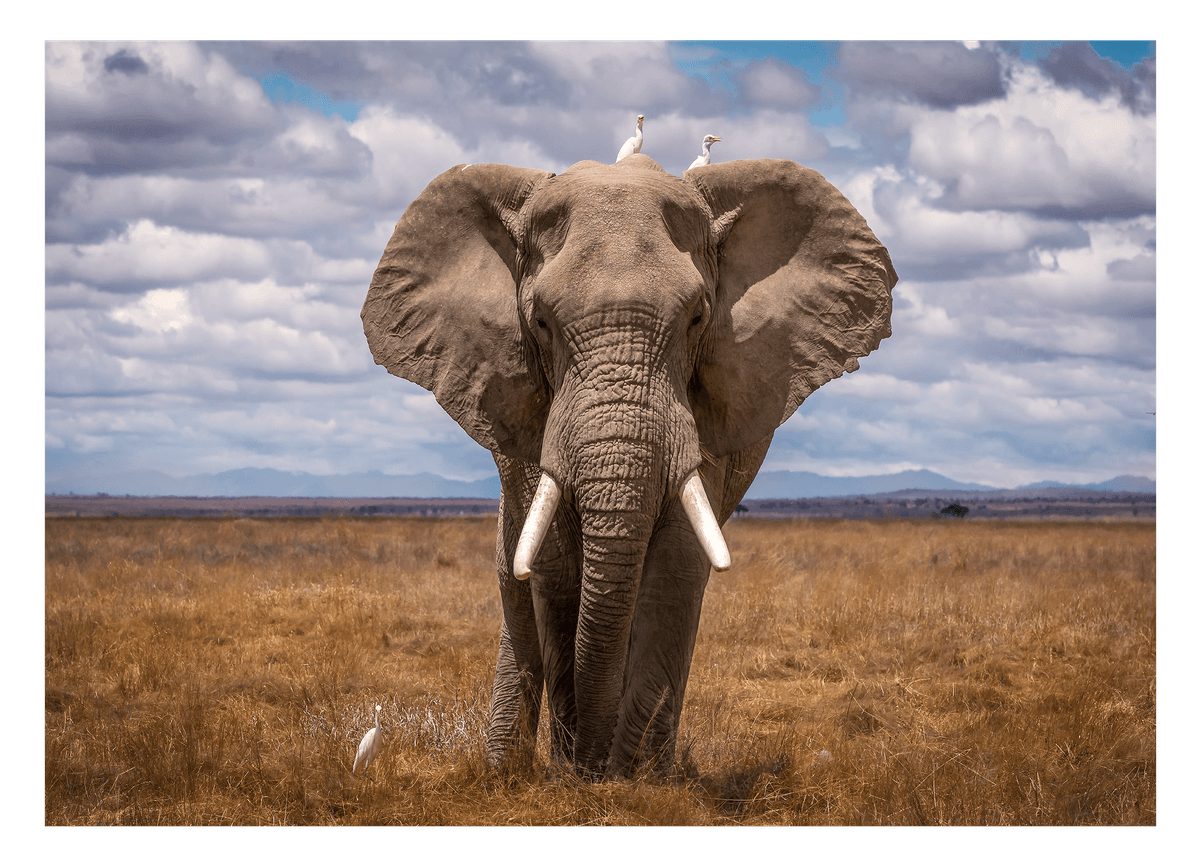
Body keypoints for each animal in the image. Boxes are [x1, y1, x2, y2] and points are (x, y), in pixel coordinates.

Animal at [361, 153, 897, 778]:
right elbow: (554, 567)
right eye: (539, 322)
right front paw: (576, 774)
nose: (590, 766)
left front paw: (634, 781)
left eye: (697, 319)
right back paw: (504, 772)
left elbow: (677, 565)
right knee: (515, 584)